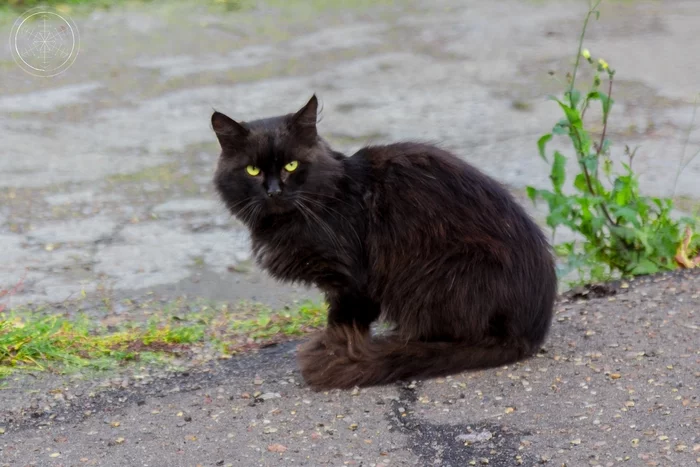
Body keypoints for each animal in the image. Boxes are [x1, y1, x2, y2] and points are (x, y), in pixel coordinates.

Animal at [211, 96, 556, 392]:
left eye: (291, 166)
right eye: (252, 170)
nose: (273, 191)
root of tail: (530, 333)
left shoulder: (352, 280)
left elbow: (343, 322)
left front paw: (339, 351)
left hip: (443, 268)